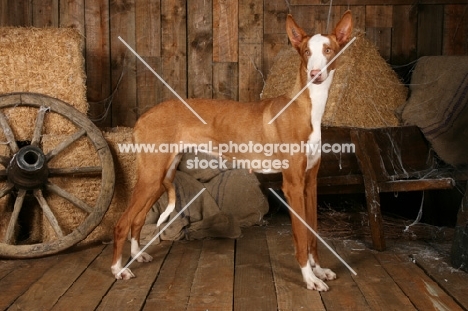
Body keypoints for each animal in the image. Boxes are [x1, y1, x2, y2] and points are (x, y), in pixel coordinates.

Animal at [111, 10, 352, 292]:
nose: (315, 74)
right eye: (305, 52)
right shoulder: (292, 184)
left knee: (137, 220)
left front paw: (319, 270)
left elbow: (312, 233)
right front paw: (309, 278)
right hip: (151, 177)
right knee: (121, 223)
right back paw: (118, 269)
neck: (306, 107)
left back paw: (137, 255)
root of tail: (143, 116)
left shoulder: (310, 182)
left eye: (328, 50)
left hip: (159, 178)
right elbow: (301, 236)